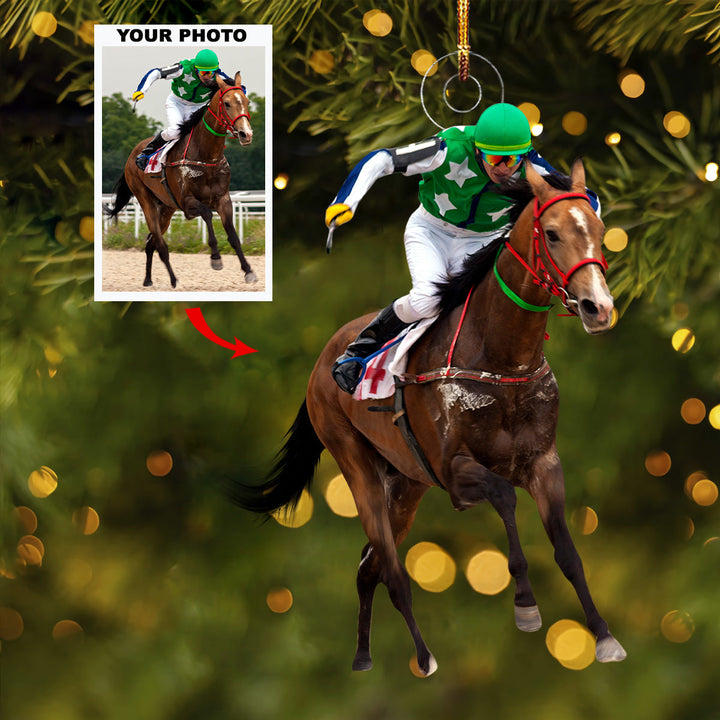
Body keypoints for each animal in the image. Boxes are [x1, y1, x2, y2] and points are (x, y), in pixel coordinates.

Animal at [105, 72, 258, 289]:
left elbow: (234, 236)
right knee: (160, 245)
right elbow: (207, 214)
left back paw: (148, 279)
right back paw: (173, 279)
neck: (207, 156)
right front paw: (216, 258)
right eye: (227, 103)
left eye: (246, 101)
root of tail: (132, 155)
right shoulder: (187, 202)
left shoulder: (223, 200)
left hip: (166, 209)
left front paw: (248, 270)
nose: (246, 134)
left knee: (150, 242)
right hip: (146, 202)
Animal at [232, 159, 627, 676]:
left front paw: (603, 636)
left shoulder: (544, 463)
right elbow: (504, 498)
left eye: (599, 230)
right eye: (554, 234)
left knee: (369, 568)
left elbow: (568, 552)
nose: (598, 308)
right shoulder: (454, 471)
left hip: (406, 484)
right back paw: (422, 656)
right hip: (357, 465)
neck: (503, 359)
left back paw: (363, 654)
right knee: (392, 571)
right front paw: (525, 604)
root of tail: (325, 357)